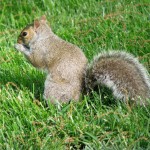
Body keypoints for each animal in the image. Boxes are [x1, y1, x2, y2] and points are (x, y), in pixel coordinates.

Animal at [14, 14, 150, 104]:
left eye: (24, 33)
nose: (18, 40)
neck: (43, 37)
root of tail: (80, 96)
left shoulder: (41, 51)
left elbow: (35, 61)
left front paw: (18, 47)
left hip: (53, 88)